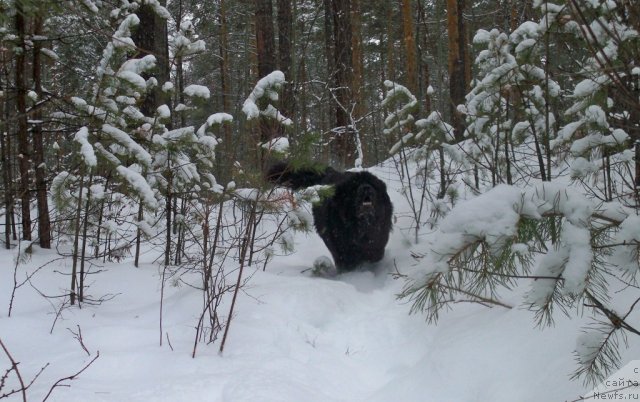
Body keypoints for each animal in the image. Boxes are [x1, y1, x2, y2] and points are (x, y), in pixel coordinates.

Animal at [266, 162, 396, 272]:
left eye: (373, 184)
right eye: (354, 187)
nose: (366, 187)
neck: (362, 226)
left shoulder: (378, 238)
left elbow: (374, 252)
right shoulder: (342, 245)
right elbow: (347, 259)